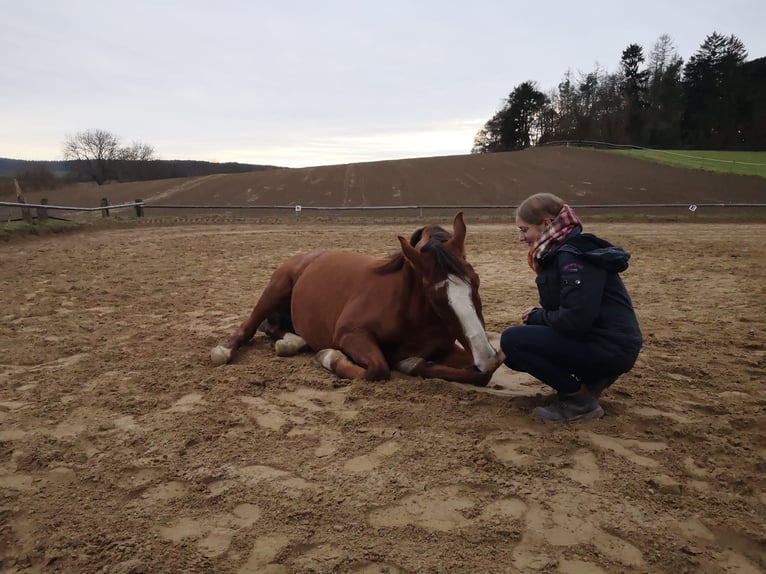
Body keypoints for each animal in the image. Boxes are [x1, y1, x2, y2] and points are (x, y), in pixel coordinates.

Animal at [210, 213, 508, 388]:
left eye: (476, 281)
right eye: (436, 298)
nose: (487, 355)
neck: (408, 314)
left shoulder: (444, 349)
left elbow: (481, 375)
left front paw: (414, 364)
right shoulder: (350, 334)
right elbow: (378, 369)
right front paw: (329, 355)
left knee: (274, 329)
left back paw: (291, 342)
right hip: (276, 287)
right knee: (249, 327)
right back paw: (224, 351)